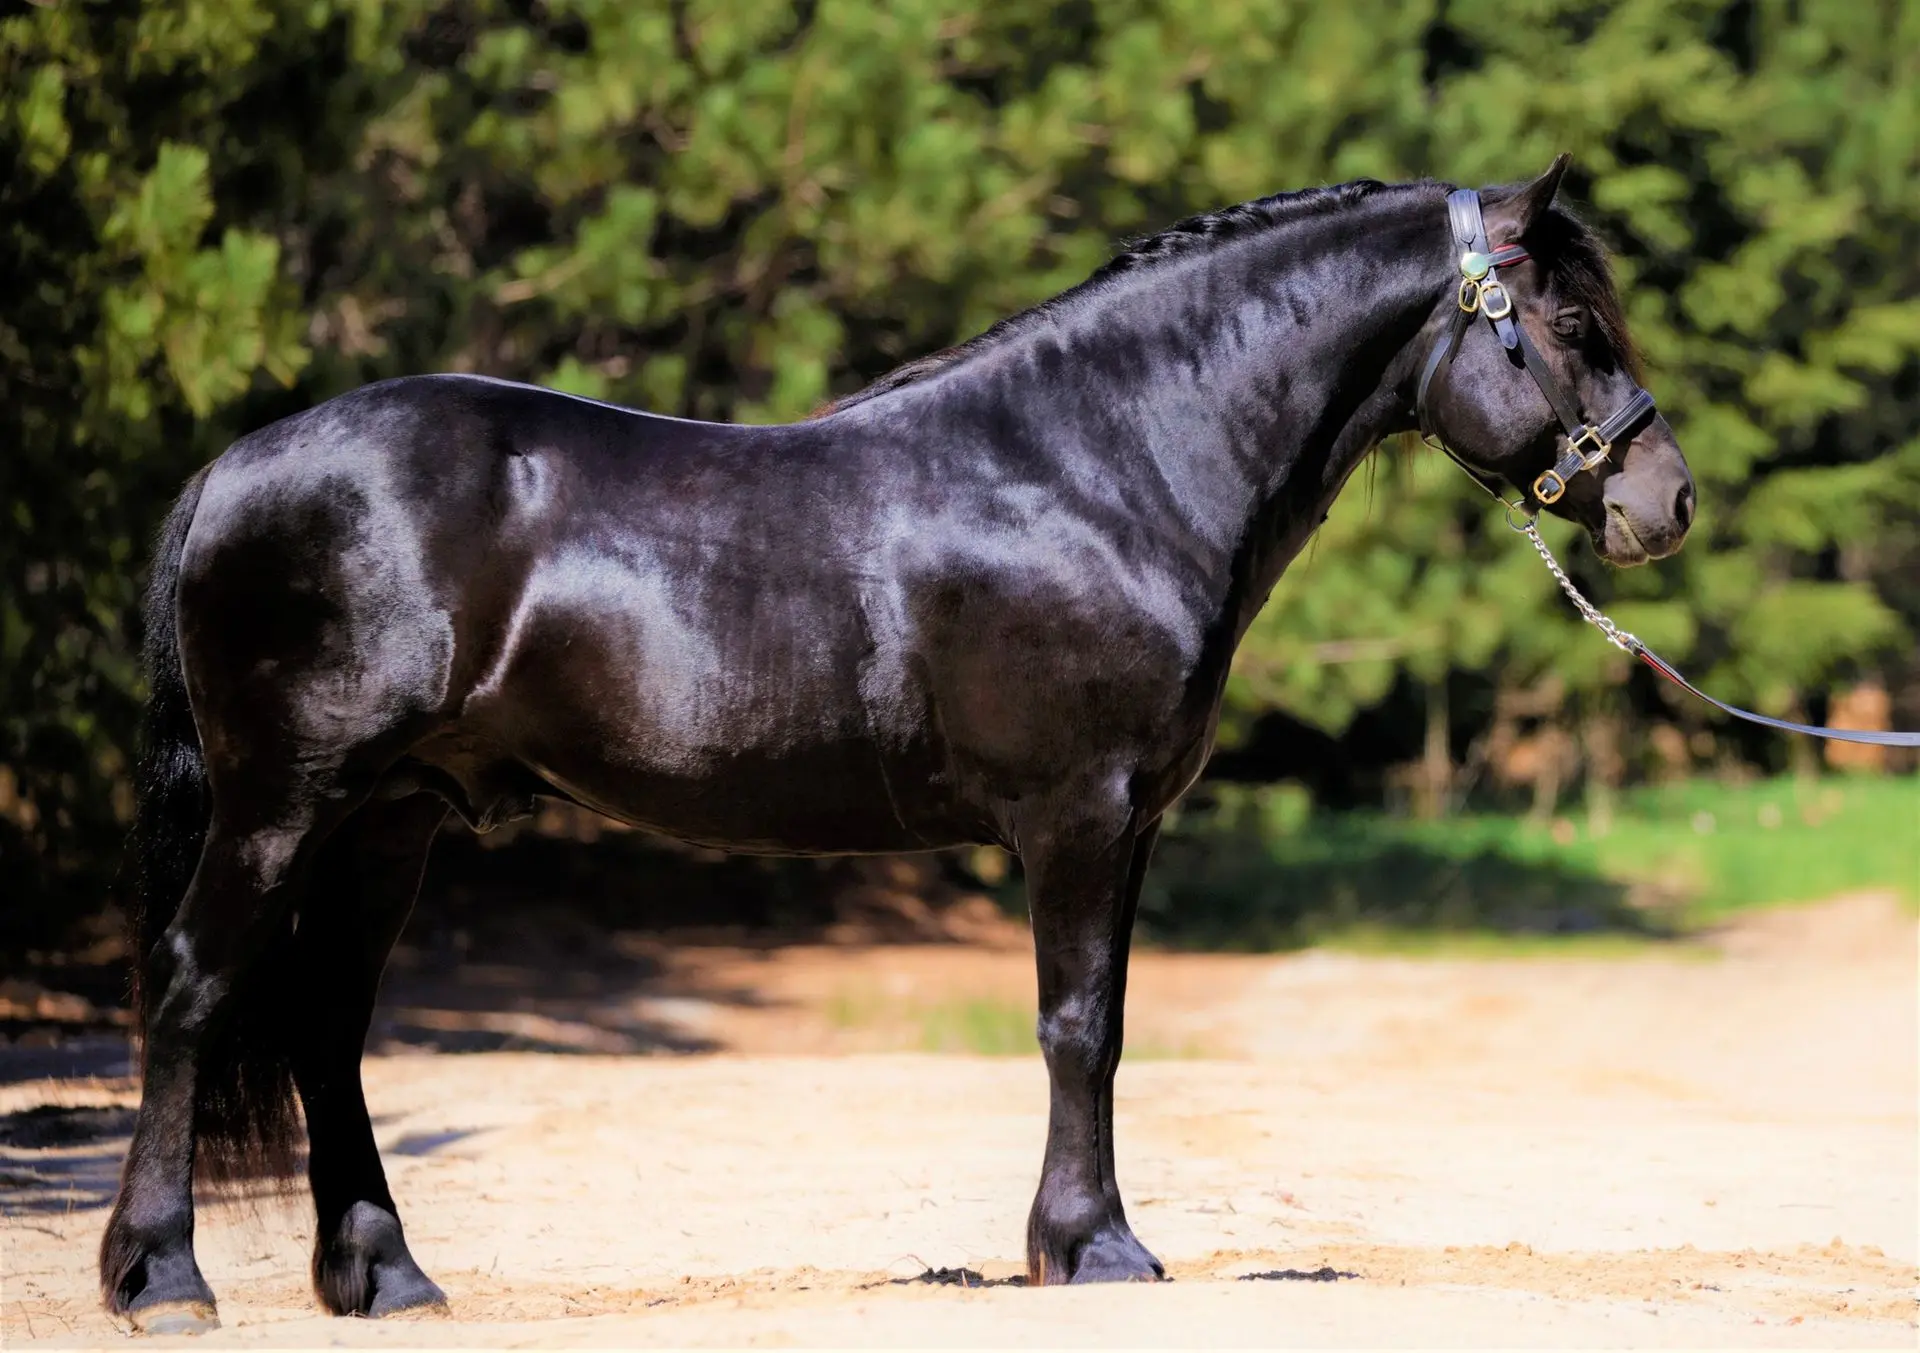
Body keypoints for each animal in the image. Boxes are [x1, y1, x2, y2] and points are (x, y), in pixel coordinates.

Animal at [100, 155, 1694, 1332]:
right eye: (1569, 330)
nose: (1665, 501)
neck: (1102, 465)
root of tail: (238, 465)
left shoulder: (1129, 825)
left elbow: (1105, 1028)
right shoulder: (1079, 816)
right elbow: (1079, 1027)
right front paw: (1093, 1249)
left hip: (391, 818)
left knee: (324, 1024)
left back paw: (385, 1279)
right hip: (283, 802)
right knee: (191, 988)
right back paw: (163, 1277)